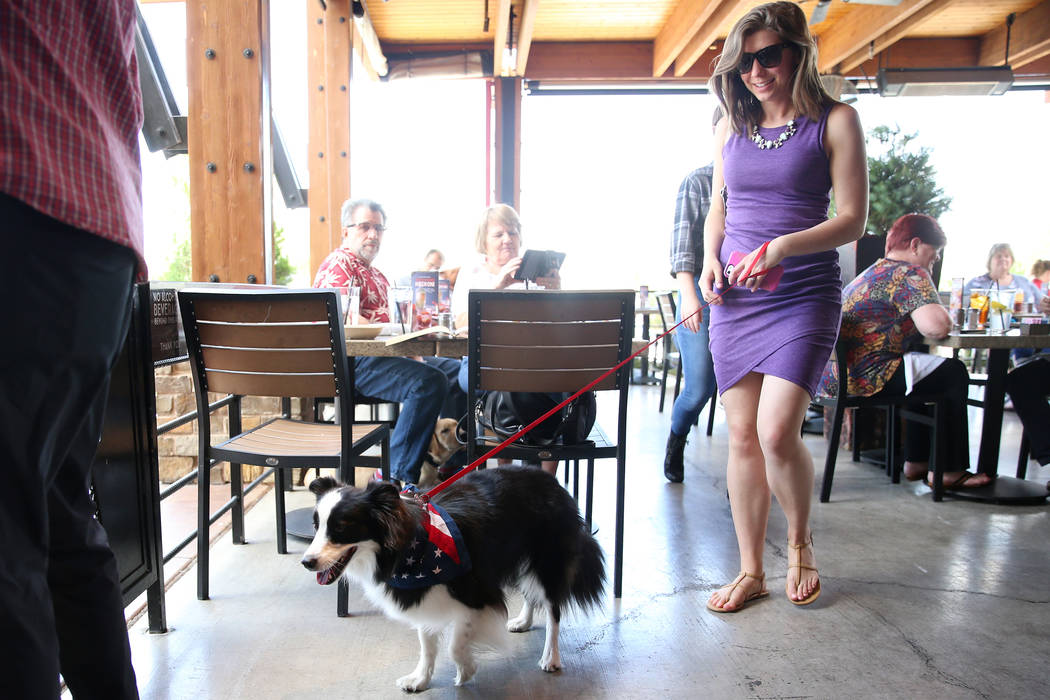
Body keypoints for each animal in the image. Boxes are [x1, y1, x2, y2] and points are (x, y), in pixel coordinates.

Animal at [300, 468, 604, 692]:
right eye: (316, 526)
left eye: (341, 528)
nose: (307, 562)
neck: (410, 548)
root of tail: (553, 482)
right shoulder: (423, 593)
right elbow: (426, 642)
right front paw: (420, 679)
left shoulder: (478, 592)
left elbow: (456, 644)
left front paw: (466, 671)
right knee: (531, 593)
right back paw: (523, 621)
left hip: (548, 560)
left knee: (554, 609)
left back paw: (550, 657)